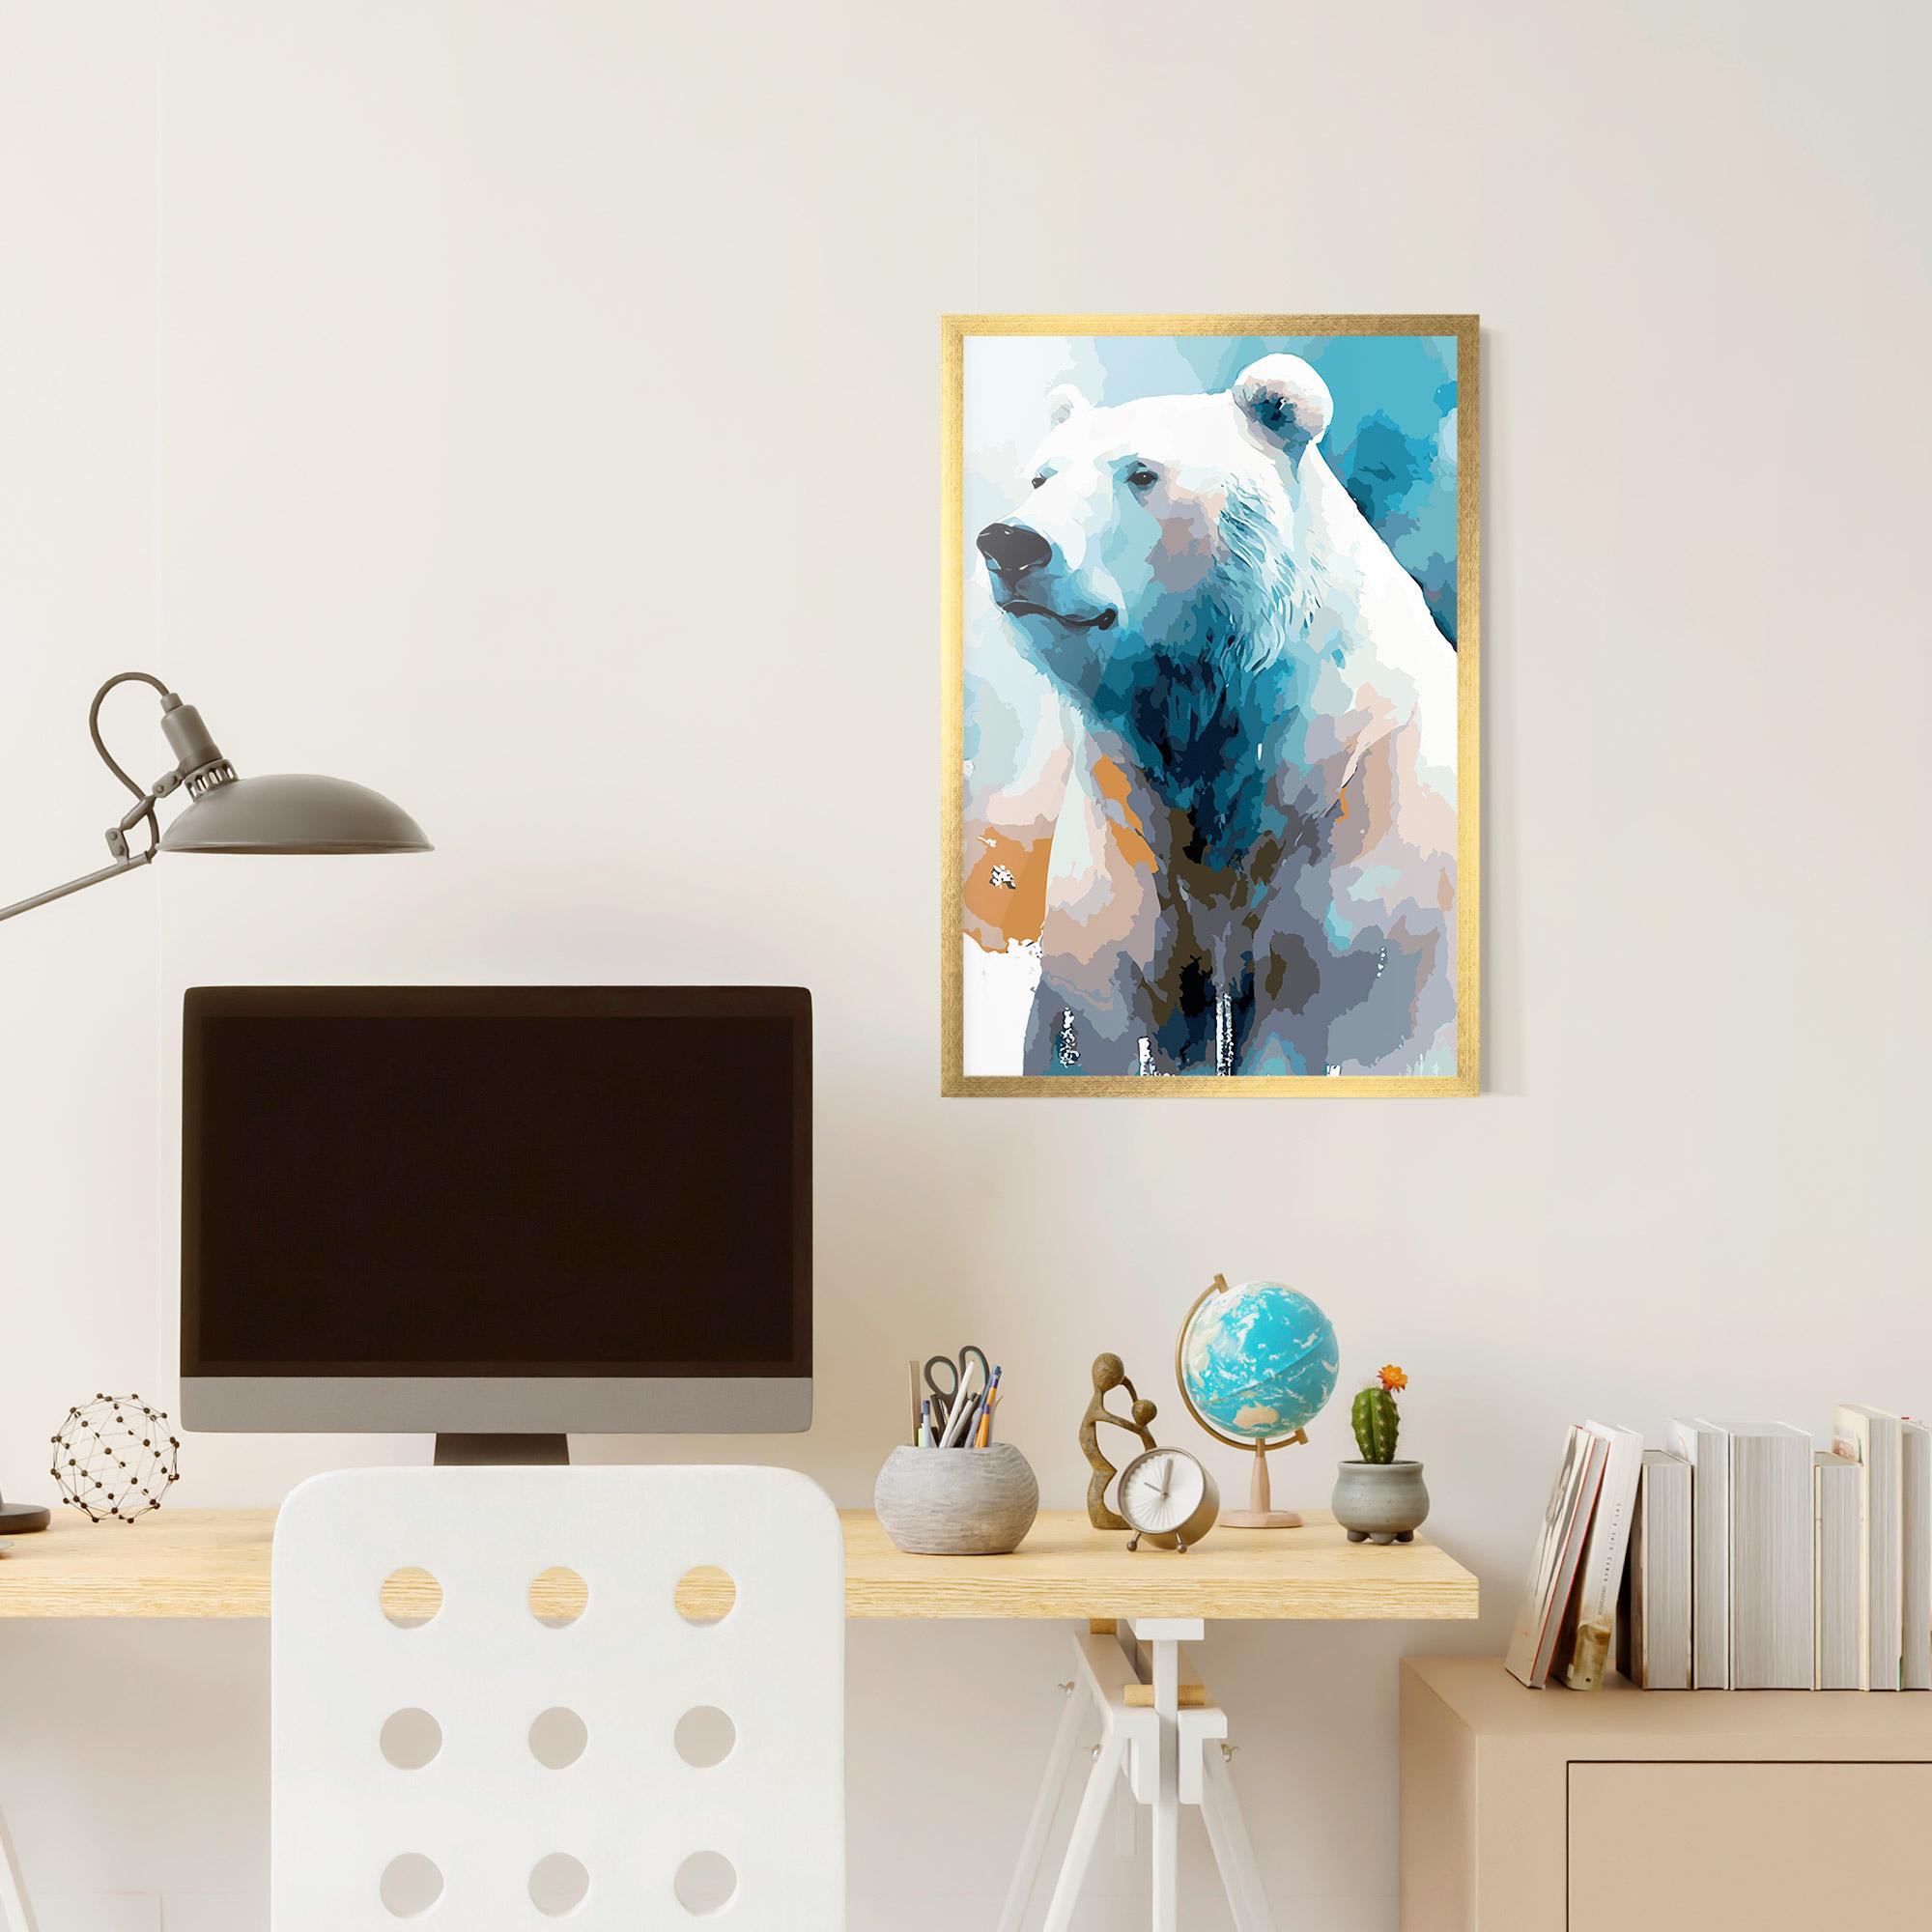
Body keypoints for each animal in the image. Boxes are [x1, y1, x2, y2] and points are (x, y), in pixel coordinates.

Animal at [973, 354, 1459, 1077]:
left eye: (1141, 473)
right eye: (1042, 475)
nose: (1011, 543)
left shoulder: (1370, 846)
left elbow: (1354, 1022)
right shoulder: (1124, 840)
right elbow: (1100, 1013)